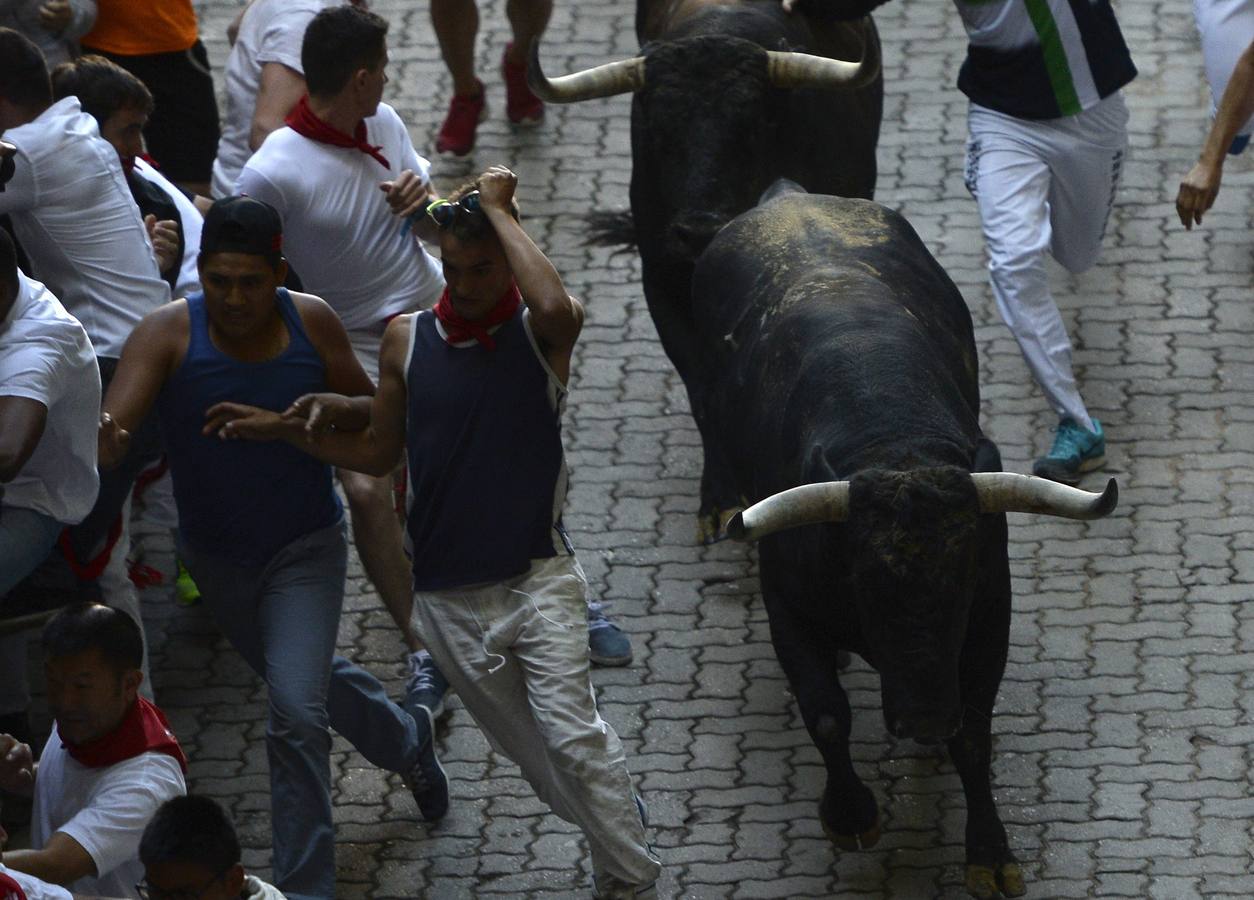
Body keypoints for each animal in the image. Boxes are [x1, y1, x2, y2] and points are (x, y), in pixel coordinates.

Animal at [702, 190, 1123, 897]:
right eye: (861, 583)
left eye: (965, 579)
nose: (925, 719)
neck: (890, 436)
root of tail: (790, 197)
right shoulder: (787, 607)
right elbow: (826, 713)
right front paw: (850, 815)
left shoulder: (990, 619)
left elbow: (974, 735)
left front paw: (989, 850)